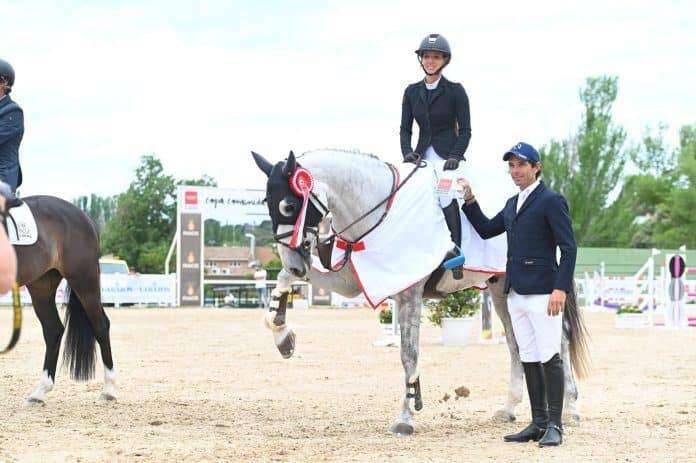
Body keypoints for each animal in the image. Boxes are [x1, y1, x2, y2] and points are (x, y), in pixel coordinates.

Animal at [5, 195, 117, 404]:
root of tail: (85, 218)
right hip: (41, 287)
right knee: (53, 330)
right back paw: (40, 391)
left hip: (84, 281)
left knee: (100, 326)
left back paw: (109, 390)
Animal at [252, 149, 589, 435]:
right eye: (267, 204)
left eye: (289, 206)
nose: (296, 262)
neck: (378, 210)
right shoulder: (351, 281)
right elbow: (281, 283)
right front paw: (284, 338)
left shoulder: (409, 294)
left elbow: (408, 354)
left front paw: (406, 416)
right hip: (501, 292)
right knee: (517, 344)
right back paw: (508, 409)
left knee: (558, 340)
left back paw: (571, 408)